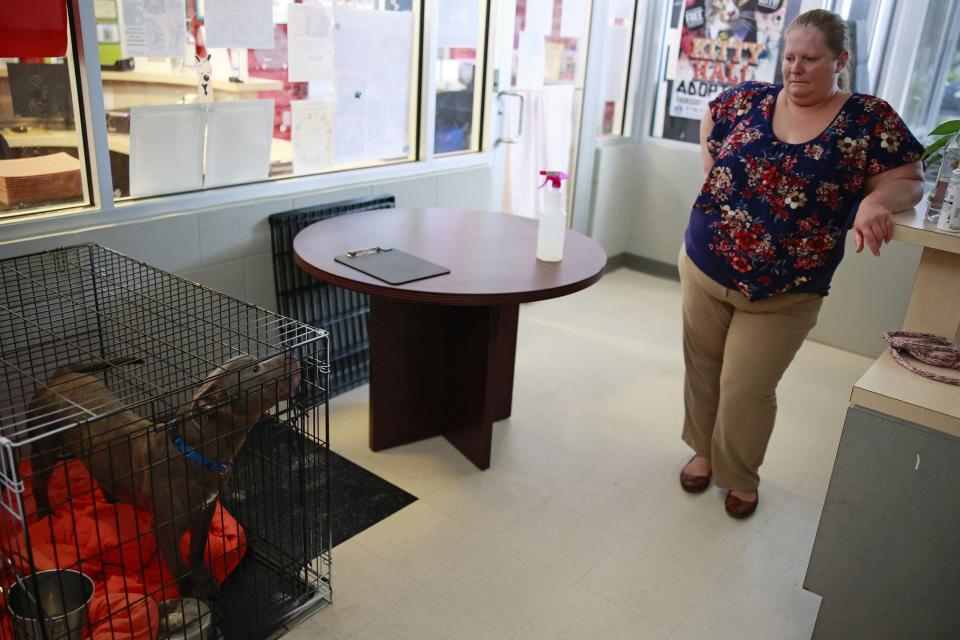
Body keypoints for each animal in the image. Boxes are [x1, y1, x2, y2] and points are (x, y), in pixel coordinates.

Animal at [29, 352, 300, 596]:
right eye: (254, 369)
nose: (291, 354)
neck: (196, 453)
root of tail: (59, 377)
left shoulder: (205, 510)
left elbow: (196, 549)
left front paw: (203, 577)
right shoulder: (166, 529)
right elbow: (178, 566)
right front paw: (192, 591)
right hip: (44, 450)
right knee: (38, 484)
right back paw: (44, 515)